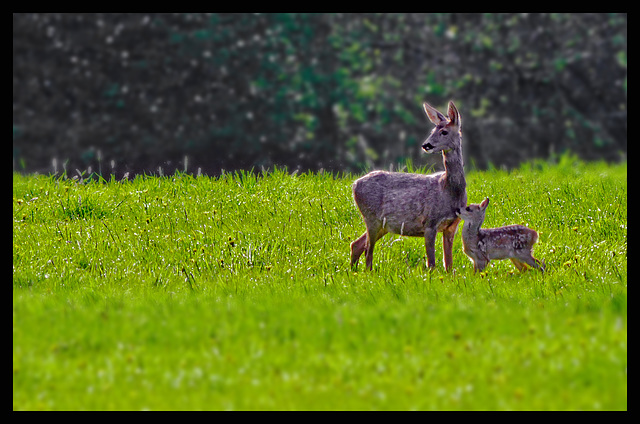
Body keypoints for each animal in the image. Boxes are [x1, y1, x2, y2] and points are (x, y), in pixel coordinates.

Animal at [350, 101, 464, 270]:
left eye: (444, 132)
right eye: (432, 130)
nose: (426, 145)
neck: (449, 190)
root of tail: (354, 185)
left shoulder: (452, 226)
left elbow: (448, 265)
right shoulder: (429, 223)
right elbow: (431, 263)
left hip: (383, 225)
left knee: (356, 245)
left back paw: (353, 272)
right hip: (371, 217)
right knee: (367, 251)